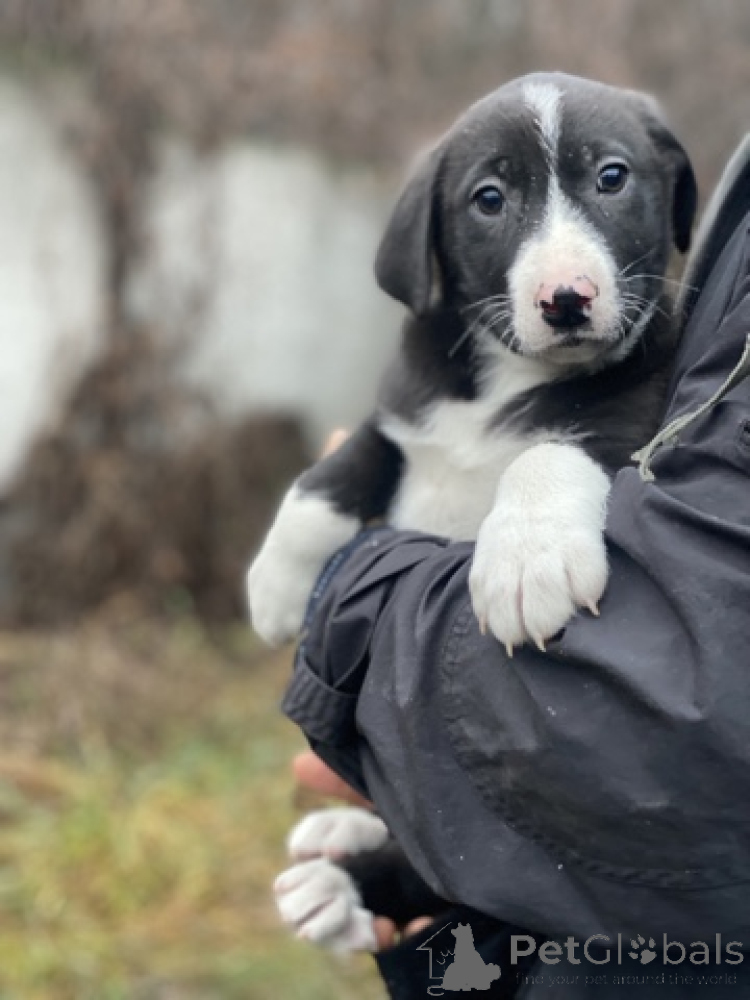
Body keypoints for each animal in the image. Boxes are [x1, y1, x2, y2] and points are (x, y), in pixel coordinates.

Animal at [258, 72, 697, 949]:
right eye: (489, 198)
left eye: (612, 177)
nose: (566, 299)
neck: (505, 379)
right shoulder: (402, 416)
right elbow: (332, 474)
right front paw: (276, 585)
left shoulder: (627, 432)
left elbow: (543, 454)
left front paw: (526, 564)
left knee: (437, 868)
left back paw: (337, 885)